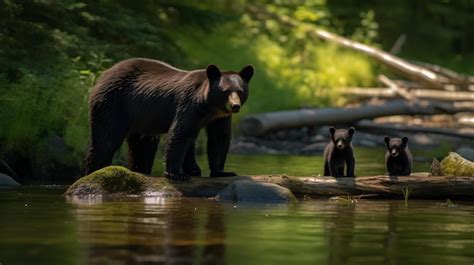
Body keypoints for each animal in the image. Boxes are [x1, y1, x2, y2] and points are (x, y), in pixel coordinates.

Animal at [85, 58, 256, 180]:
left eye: (240, 91)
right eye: (225, 91)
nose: (235, 106)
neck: (209, 107)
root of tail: (103, 74)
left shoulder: (221, 117)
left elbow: (219, 138)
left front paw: (221, 171)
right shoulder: (188, 106)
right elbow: (180, 134)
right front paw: (176, 173)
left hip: (142, 121)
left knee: (143, 148)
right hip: (113, 104)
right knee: (105, 141)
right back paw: (94, 170)